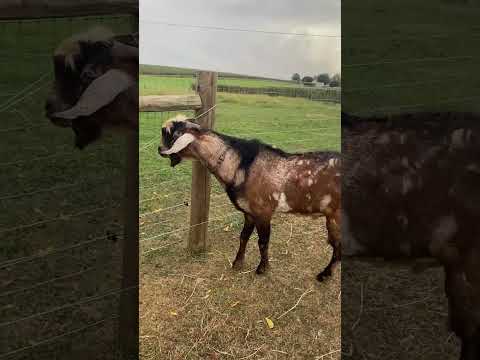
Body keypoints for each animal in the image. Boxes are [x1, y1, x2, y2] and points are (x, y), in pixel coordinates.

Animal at [158, 115, 342, 282]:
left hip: (335, 217)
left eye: (168, 133)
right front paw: (237, 263)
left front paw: (262, 268)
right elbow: (243, 237)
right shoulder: (249, 213)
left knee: (338, 247)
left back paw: (324, 275)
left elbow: (263, 241)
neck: (240, 165)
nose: (159, 149)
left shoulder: (263, 212)